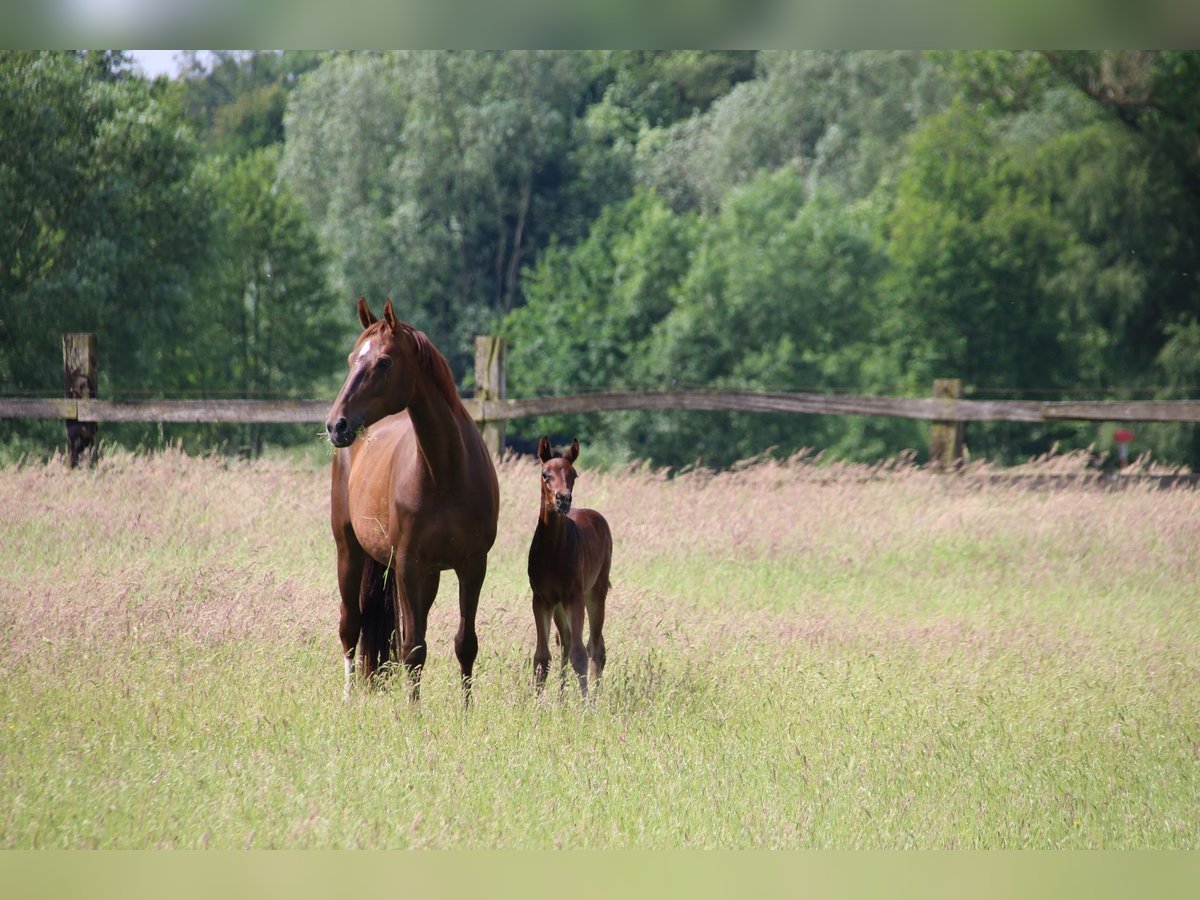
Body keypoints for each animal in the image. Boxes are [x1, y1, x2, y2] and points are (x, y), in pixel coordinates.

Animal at [326, 300, 499, 700]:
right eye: (351, 359)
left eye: (384, 362)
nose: (336, 425)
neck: (445, 471)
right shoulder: (407, 565)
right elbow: (413, 648)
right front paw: (412, 708)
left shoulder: (472, 565)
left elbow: (465, 643)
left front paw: (466, 708)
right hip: (349, 550)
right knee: (350, 625)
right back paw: (347, 697)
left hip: (429, 574)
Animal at [530, 436, 614, 696]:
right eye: (545, 474)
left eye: (573, 474)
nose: (563, 499)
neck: (552, 553)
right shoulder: (541, 599)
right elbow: (542, 657)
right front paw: (535, 702)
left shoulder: (574, 597)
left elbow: (580, 653)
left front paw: (585, 701)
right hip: (559, 606)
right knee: (565, 642)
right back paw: (561, 698)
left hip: (595, 592)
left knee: (595, 646)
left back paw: (595, 697)